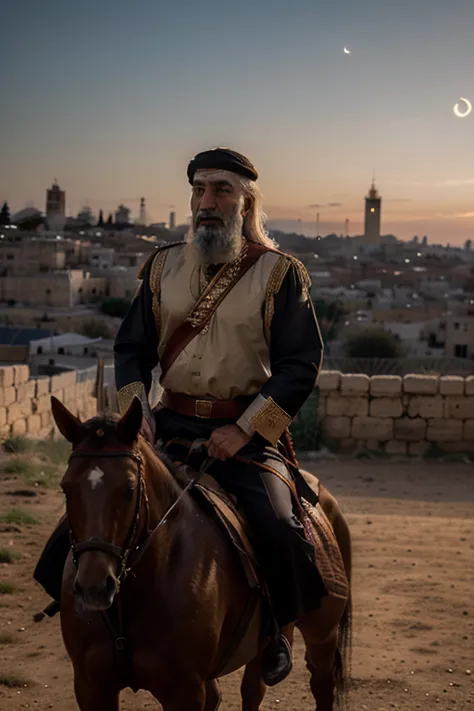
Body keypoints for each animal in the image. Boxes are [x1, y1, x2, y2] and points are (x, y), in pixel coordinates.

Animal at [51, 394, 352, 711]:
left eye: (129, 489)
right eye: (66, 489)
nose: (94, 588)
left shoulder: (184, 690)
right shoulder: (91, 686)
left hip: (323, 633)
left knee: (321, 683)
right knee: (251, 689)